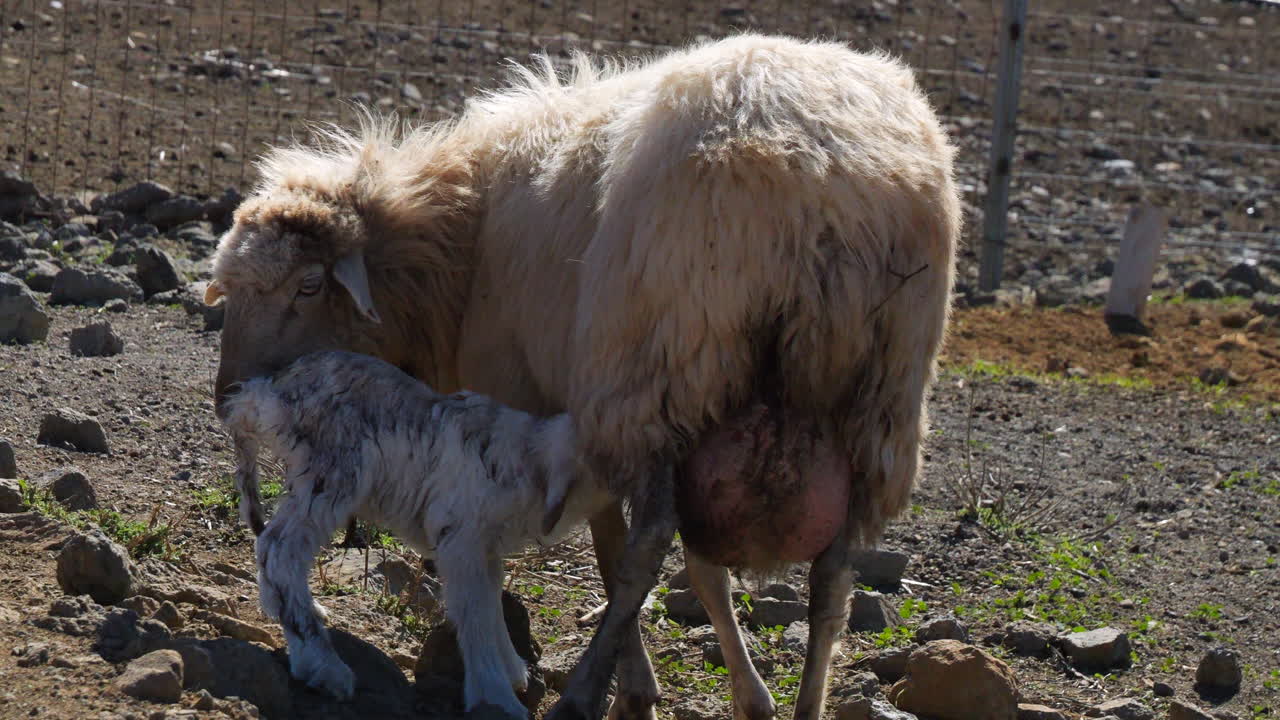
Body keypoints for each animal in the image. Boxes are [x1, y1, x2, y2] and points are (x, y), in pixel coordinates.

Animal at [218, 348, 614, 719]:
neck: (528, 458)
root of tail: (261, 393)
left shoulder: (487, 547)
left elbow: (491, 600)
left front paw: (513, 671)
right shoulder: (462, 537)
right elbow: (475, 611)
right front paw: (496, 697)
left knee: (270, 545)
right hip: (330, 474)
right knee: (279, 549)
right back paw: (323, 666)